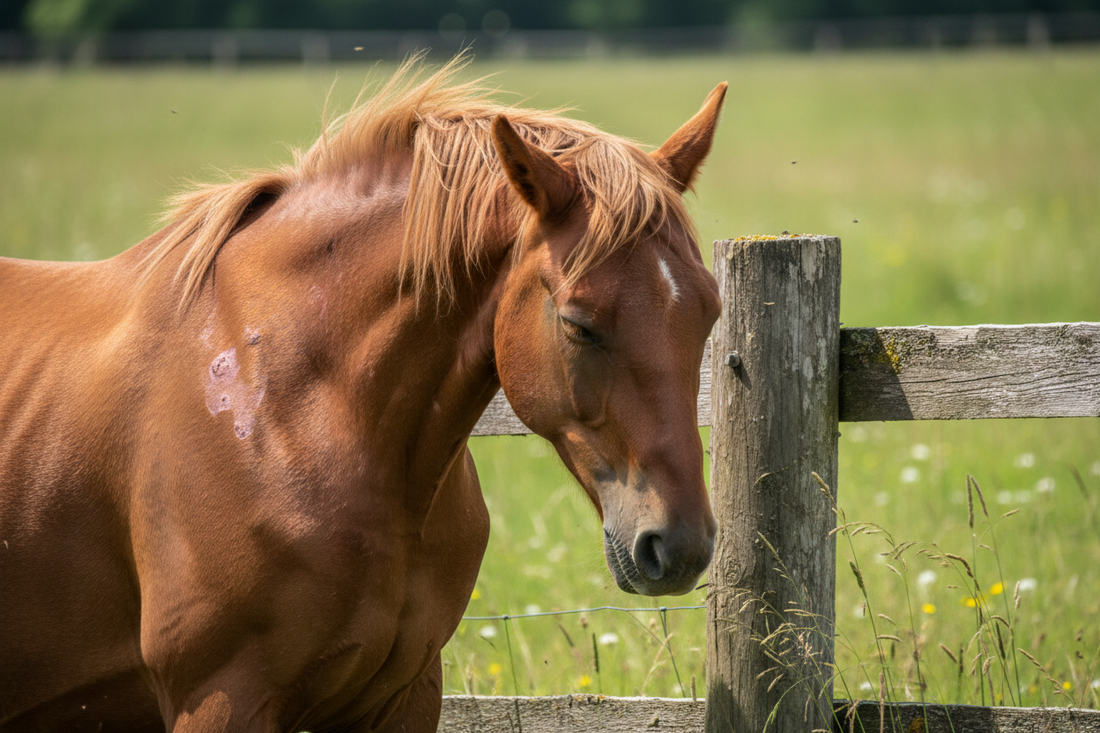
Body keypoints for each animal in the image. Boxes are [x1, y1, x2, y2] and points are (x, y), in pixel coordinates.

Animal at [0, 57, 726, 732]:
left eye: (711, 312)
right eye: (578, 323)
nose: (679, 545)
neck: (292, 407)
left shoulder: (402, 694)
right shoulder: (220, 698)